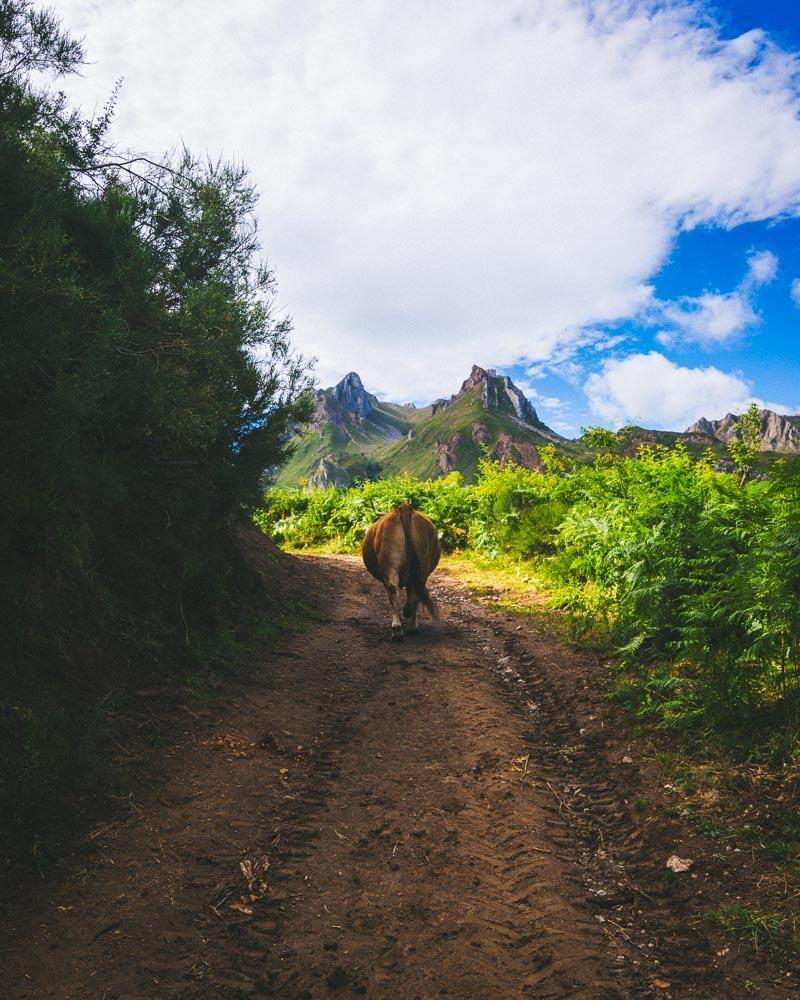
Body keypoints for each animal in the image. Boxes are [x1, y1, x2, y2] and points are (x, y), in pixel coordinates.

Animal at [364, 500, 440, 640]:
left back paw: (397, 628)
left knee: (393, 590)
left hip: (390, 566)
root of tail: (404, 507)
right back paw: (411, 623)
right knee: (416, 592)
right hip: (422, 569)